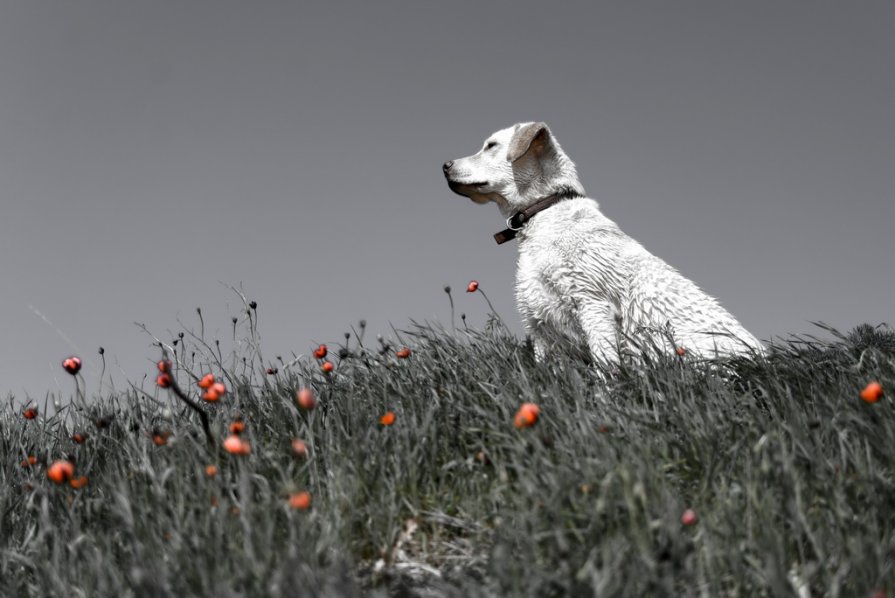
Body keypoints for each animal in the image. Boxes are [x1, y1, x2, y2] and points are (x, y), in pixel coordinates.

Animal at [440, 122, 764, 366]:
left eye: (491, 145)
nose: (444, 165)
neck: (545, 213)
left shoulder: (592, 305)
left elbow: (605, 372)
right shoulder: (538, 322)